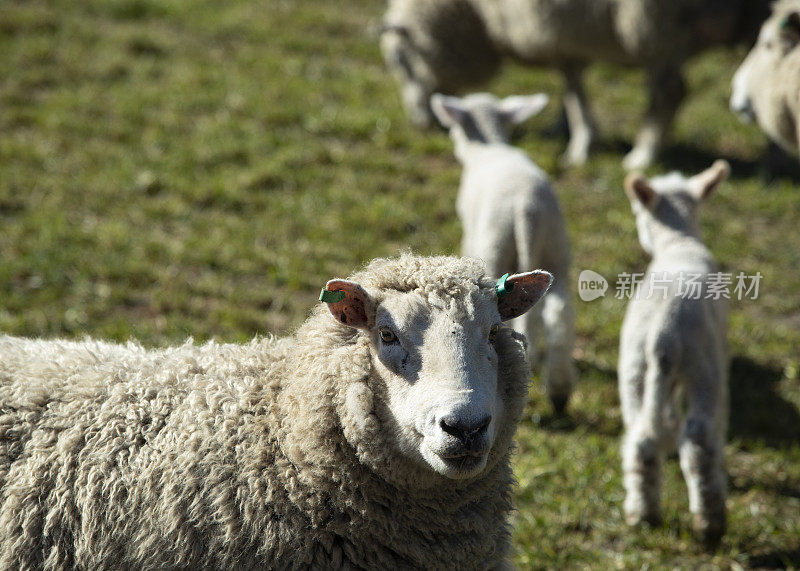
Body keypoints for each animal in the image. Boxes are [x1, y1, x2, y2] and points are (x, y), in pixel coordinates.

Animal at [382, 0, 768, 170]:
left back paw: (642, 155)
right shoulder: (564, 36)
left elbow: (574, 90)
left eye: (399, 62)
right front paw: (562, 129)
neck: (477, 15)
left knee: (669, 91)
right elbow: (570, 89)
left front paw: (580, 145)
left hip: (656, 24)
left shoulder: (554, 28)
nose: (422, 124)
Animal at [432, 92, 576, 416]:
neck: (489, 146)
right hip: (556, 248)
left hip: (495, 245)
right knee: (559, 310)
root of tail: (527, 209)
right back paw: (559, 391)